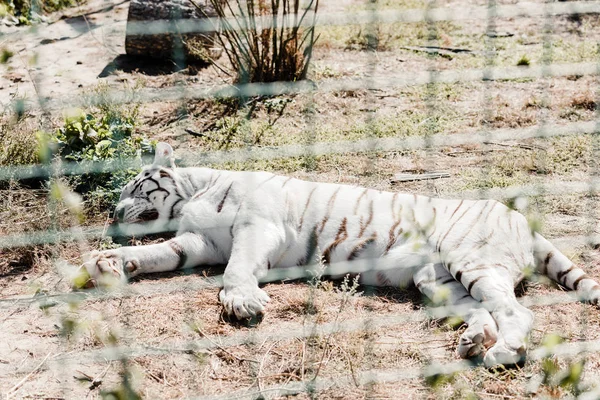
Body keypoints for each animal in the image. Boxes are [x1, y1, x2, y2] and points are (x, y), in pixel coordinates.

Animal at [83, 142, 600, 368]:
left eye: (135, 187)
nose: (113, 211)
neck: (192, 194)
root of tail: (521, 219)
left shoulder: (256, 227)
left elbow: (237, 269)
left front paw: (242, 302)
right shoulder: (198, 243)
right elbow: (160, 252)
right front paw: (110, 261)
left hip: (471, 260)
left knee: (518, 312)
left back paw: (504, 352)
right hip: (435, 280)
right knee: (484, 311)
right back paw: (474, 341)